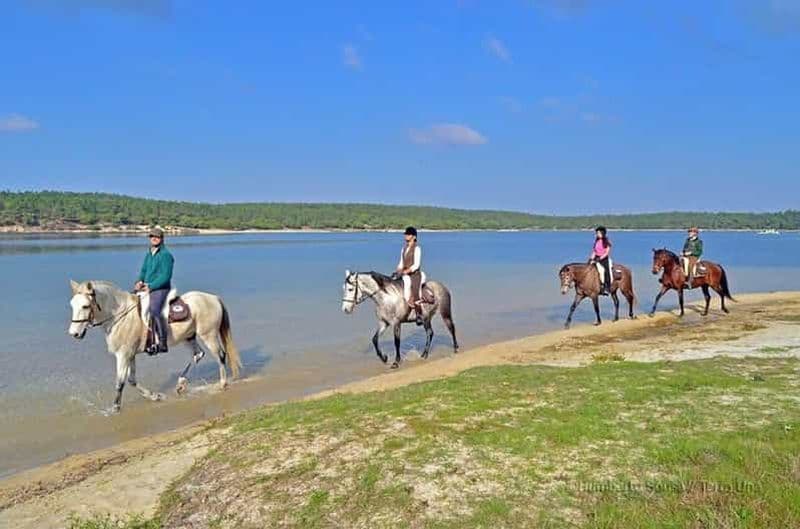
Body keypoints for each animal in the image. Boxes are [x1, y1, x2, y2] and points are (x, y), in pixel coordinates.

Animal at [67, 280, 241, 412]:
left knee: (220, 355)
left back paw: (222, 384)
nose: (74, 334)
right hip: (189, 337)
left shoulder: (123, 355)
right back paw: (181, 384)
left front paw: (115, 408)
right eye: (72, 305)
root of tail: (213, 298)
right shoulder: (130, 354)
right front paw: (154, 396)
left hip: (208, 335)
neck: (120, 316)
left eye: (85, 306)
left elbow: (120, 382)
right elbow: (132, 380)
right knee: (198, 355)